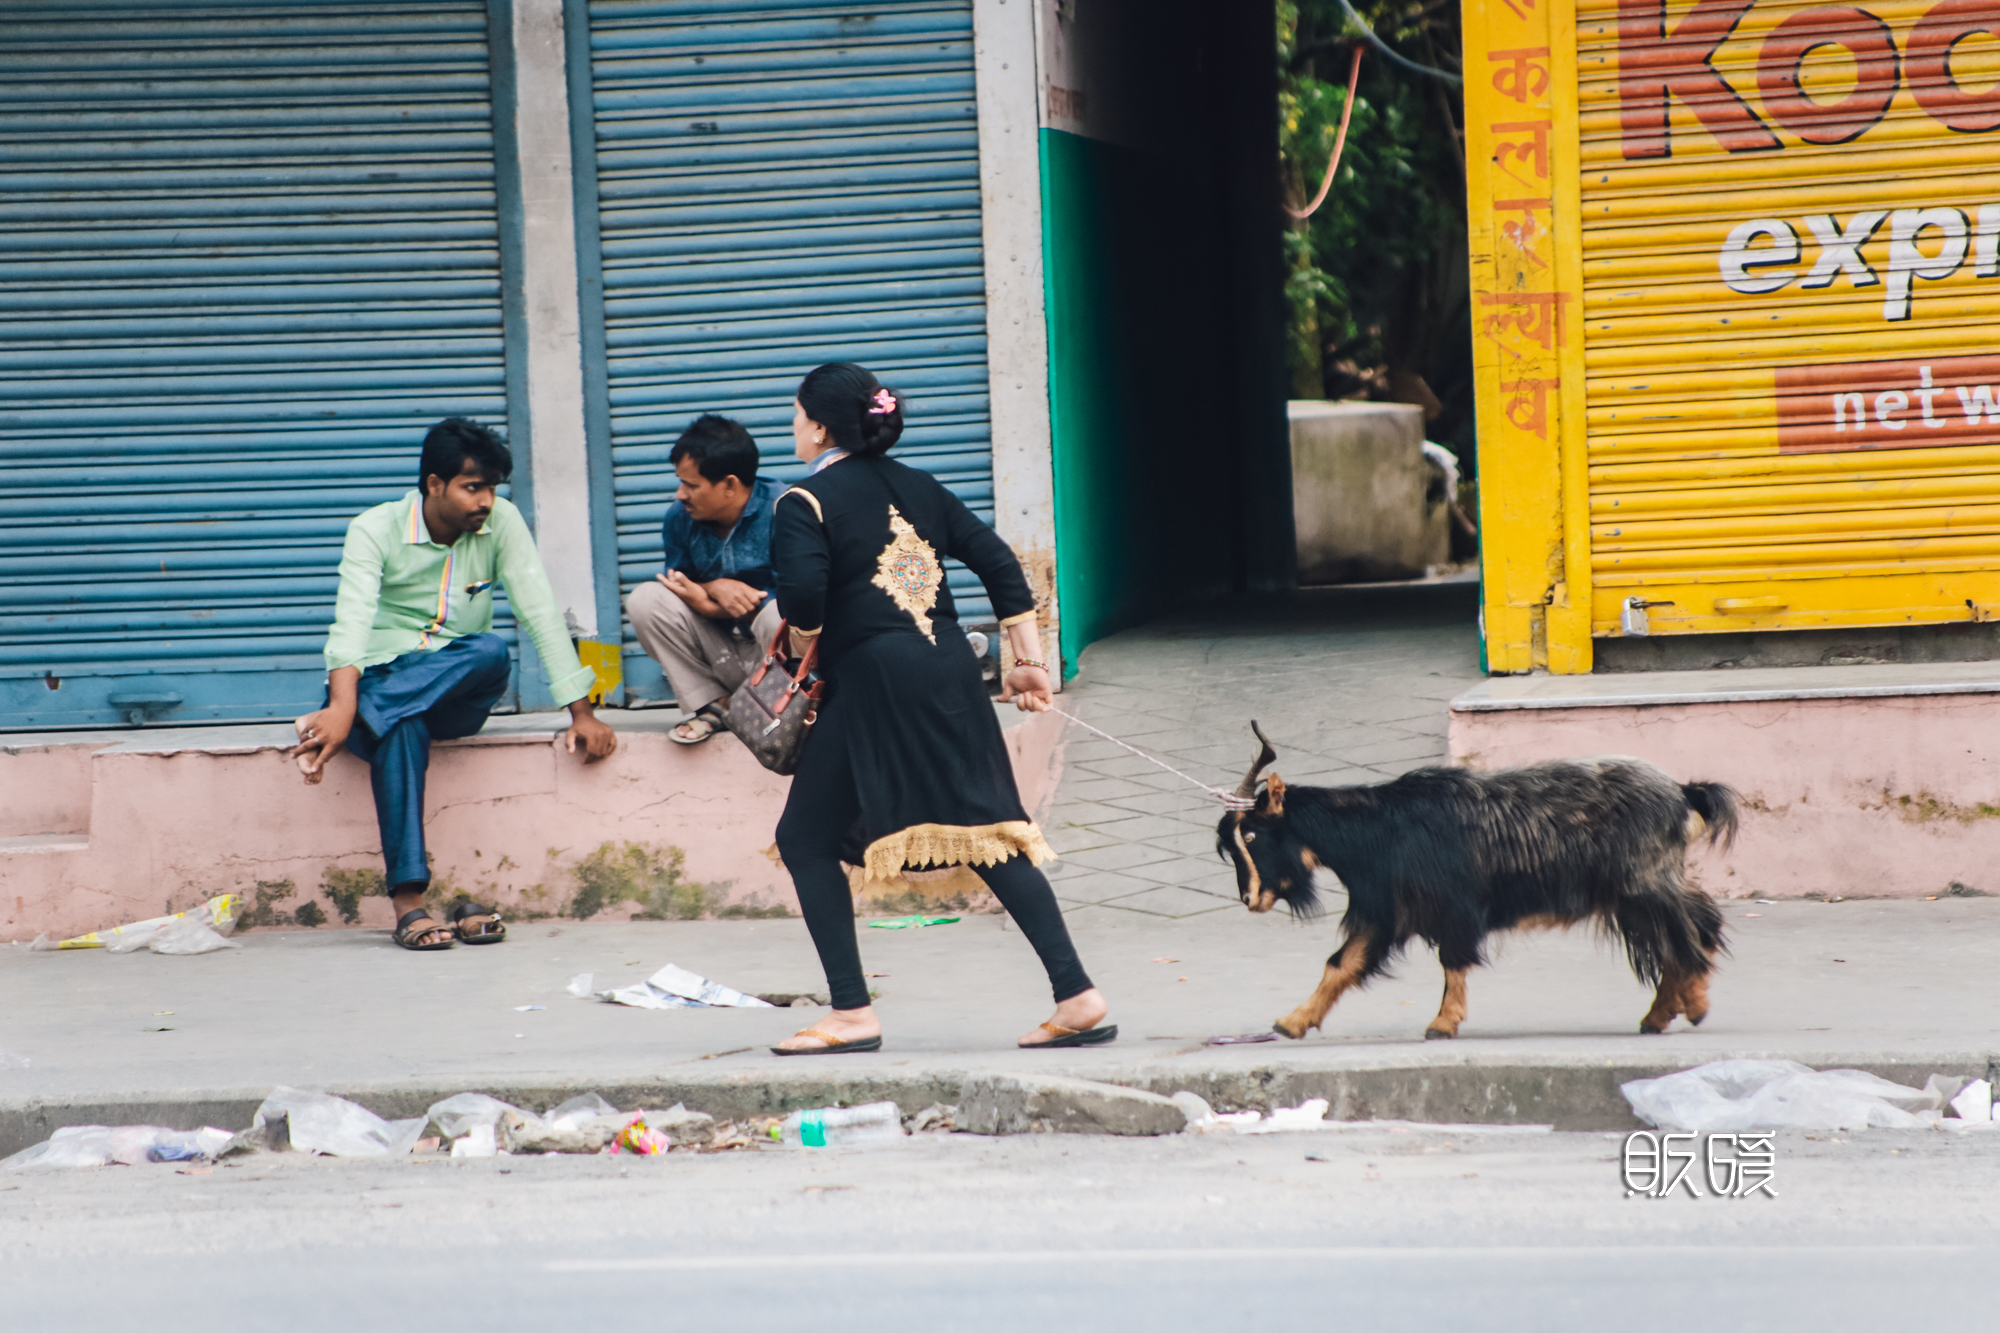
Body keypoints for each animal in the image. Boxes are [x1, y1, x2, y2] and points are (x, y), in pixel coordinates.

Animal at [1216, 728, 1736, 1040]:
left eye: (1252, 833)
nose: (1249, 898)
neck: (1380, 830)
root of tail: (1682, 793)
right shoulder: (1383, 912)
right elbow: (1340, 964)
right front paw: (1292, 1022)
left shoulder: (1451, 907)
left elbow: (1452, 960)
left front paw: (1443, 1023)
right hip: (1630, 896)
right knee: (1679, 932)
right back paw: (1659, 1014)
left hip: (1644, 882)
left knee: (1692, 927)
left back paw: (1695, 1004)